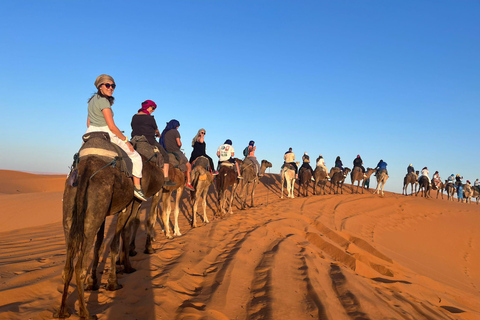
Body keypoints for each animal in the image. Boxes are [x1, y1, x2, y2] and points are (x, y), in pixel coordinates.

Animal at [57, 136, 138, 318]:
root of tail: (86, 170)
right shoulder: (125, 208)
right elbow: (114, 244)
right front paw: (114, 283)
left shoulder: (103, 215)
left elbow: (99, 245)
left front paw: (94, 282)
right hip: (95, 208)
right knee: (80, 266)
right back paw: (85, 313)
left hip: (71, 210)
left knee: (68, 266)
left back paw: (63, 311)